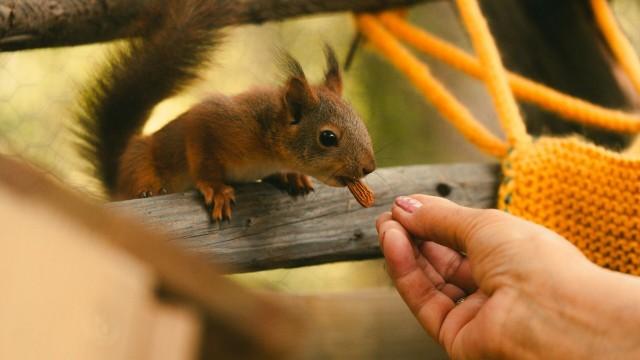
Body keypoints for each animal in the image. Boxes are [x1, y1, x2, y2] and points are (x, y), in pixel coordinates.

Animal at [76, 0, 376, 221]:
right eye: (328, 137)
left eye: (362, 123)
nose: (369, 167)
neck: (267, 141)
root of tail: (114, 184)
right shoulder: (214, 121)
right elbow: (204, 158)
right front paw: (217, 189)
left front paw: (293, 175)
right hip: (138, 160)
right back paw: (148, 190)